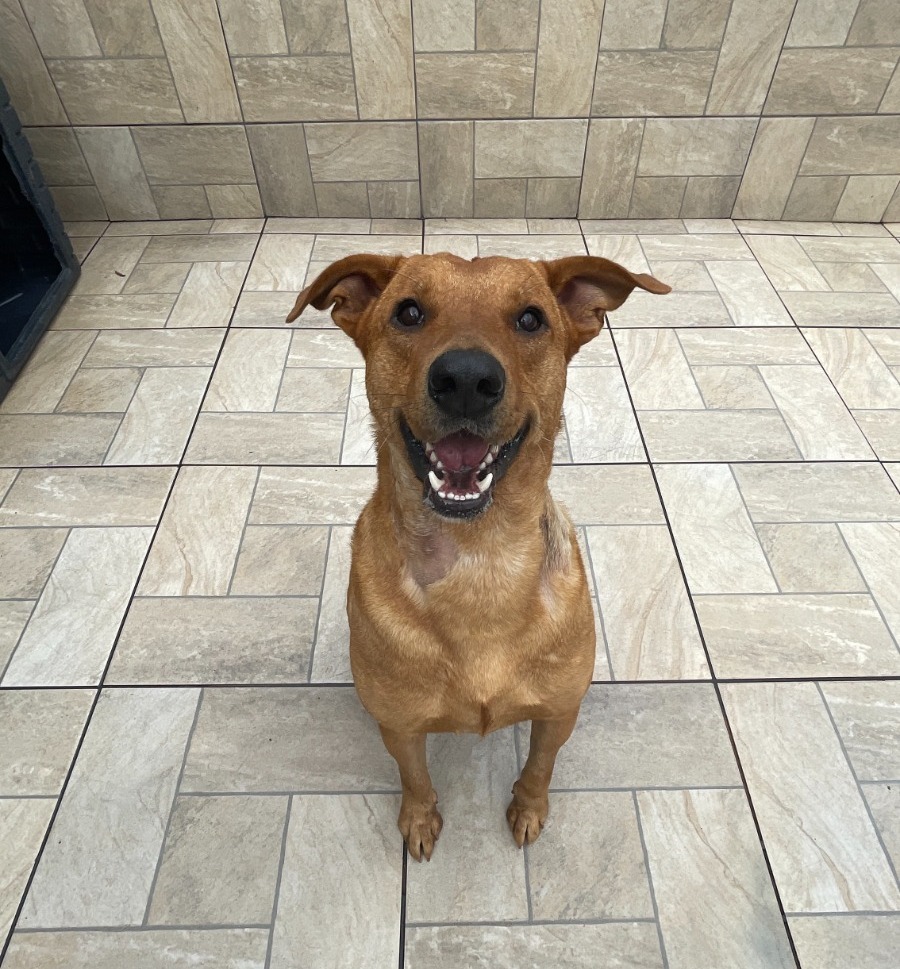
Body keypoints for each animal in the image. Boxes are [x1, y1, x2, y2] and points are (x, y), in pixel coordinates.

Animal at [287, 251, 669, 860]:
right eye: (409, 312)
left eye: (531, 319)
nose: (466, 379)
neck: (478, 563)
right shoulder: (399, 725)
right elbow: (415, 777)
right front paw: (419, 819)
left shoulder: (559, 710)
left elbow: (540, 766)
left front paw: (529, 809)